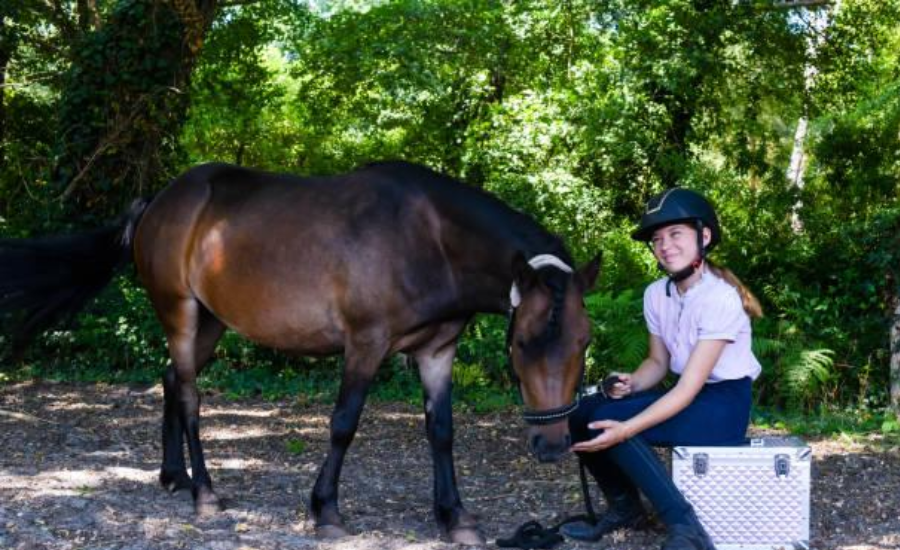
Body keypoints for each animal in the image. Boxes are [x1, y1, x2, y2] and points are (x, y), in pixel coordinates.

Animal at [1, 162, 604, 544]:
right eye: (522, 343)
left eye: (584, 341)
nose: (553, 445)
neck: (431, 238)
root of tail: (160, 201)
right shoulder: (365, 344)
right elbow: (343, 424)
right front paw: (326, 510)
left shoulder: (438, 350)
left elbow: (441, 432)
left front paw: (453, 517)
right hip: (179, 314)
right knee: (190, 396)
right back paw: (205, 493)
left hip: (211, 324)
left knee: (172, 381)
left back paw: (175, 476)